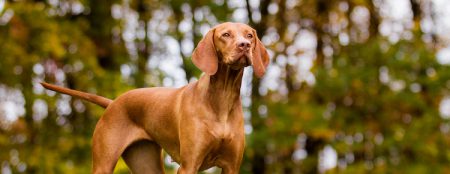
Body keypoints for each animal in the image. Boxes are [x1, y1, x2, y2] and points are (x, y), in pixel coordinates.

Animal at [41, 22, 268, 173]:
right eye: (226, 34)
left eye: (249, 35)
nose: (244, 45)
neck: (222, 97)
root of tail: (113, 102)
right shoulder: (188, 165)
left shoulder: (231, 166)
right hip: (103, 162)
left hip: (144, 161)